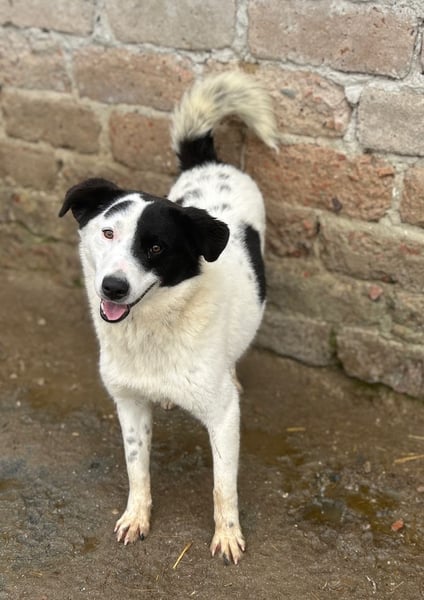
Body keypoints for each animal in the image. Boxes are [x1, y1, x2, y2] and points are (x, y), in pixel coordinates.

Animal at [59, 71, 278, 564]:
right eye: (107, 232)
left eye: (156, 247)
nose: (112, 287)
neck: (152, 328)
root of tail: (210, 161)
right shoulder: (128, 403)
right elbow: (136, 468)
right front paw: (136, 517)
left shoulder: (223, 416)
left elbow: (223, 485)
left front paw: (227, 536)